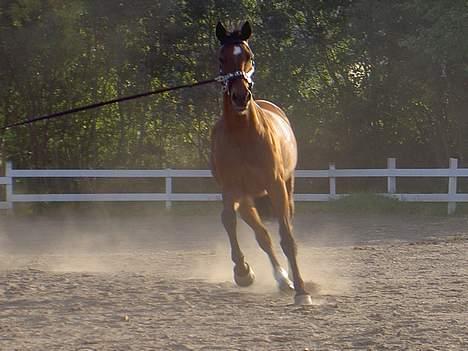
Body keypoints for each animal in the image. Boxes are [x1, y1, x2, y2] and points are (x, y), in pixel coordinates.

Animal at [210, 21, 312, 306]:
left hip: (287, 188)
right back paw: (282, 279)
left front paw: (302, 291)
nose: (240, 96)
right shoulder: (232, 190)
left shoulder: (275, 186)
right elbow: (227, 220)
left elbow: (287, 238)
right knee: (262, 236)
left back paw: (291, 279)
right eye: (221, 58)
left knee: (284, 228)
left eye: (249, 55)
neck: (243, 135)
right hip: (247, 199)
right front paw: (242, 271)